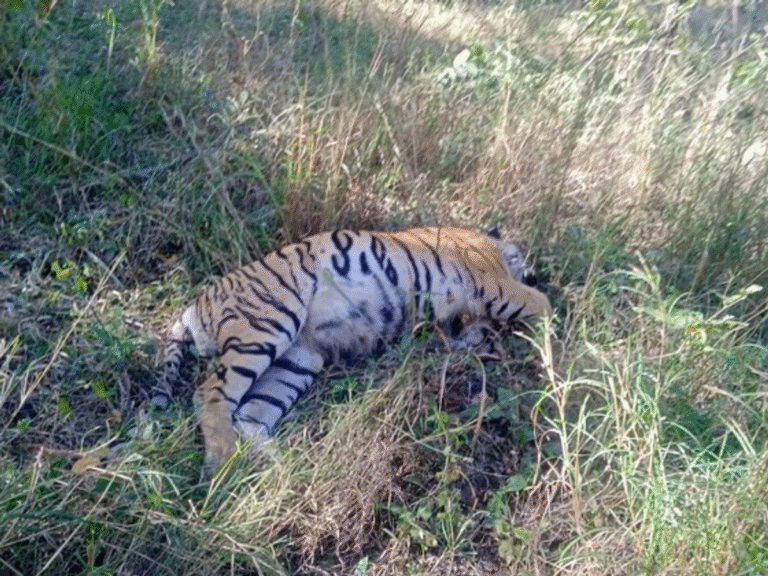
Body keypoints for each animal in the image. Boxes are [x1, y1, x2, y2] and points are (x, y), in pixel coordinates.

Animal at [154, 227, 552, 474]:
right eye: (524, 258)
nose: (536, 273)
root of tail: (195, 305)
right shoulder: (493, 283)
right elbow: (541, 304)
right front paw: (553, 344)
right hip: (266, 324)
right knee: (210, 393)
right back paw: (222, 462)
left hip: (297, 360)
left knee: (250, 415)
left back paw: (286, 468)